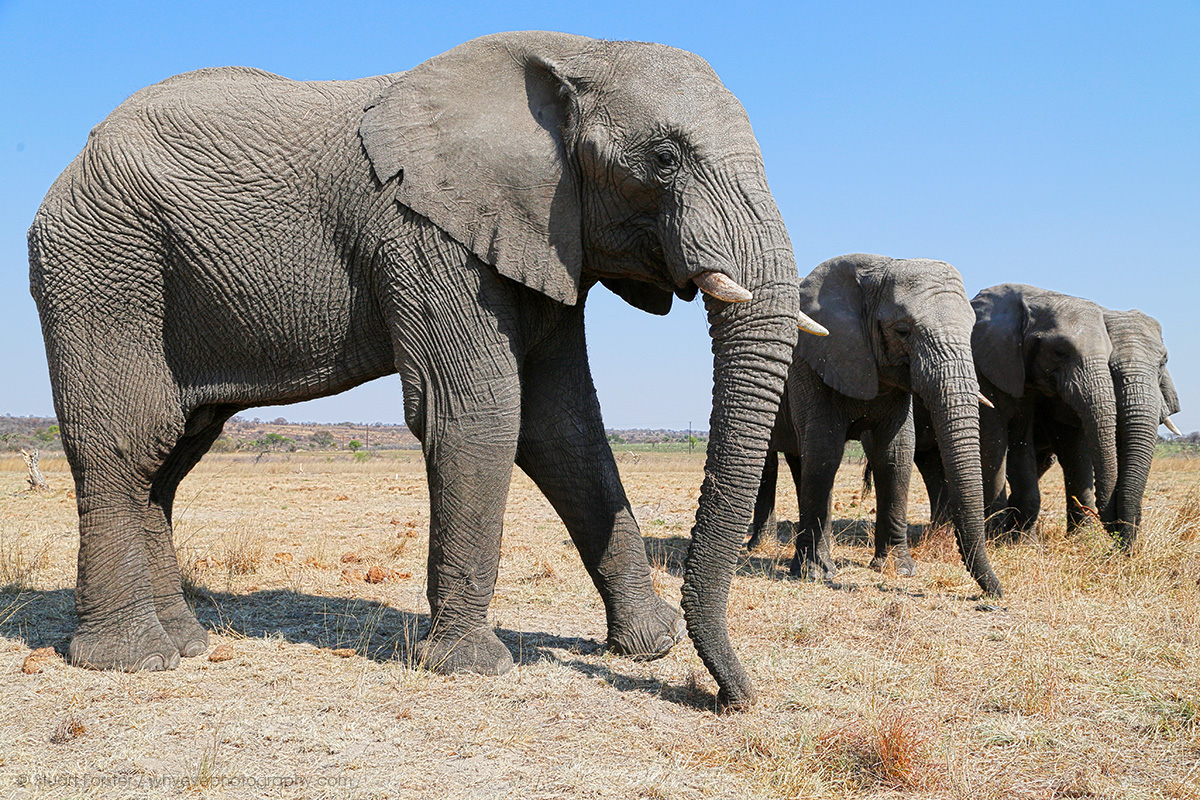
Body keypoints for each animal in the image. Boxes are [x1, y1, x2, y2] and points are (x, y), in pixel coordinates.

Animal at [29, 31, 826, 710]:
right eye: (664, 158)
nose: (732, 698)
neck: (575, 50)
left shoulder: (544, 236)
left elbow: (564, 430)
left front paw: (648, 647)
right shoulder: (427, 235)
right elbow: (481, 416)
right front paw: (474, 668)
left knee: (171, 453)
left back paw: (187, 642)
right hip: (102, 263)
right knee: (127, 441)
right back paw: (135, 659)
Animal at [747, 254, 1002, 597]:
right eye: (903, 330)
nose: (997, 593)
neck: (876, 269)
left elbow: (895, 453)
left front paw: (898, 569)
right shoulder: (810, 361)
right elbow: (825, 450)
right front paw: (813, 574)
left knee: (800, 461)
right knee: (770, 461)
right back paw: (759, 548)